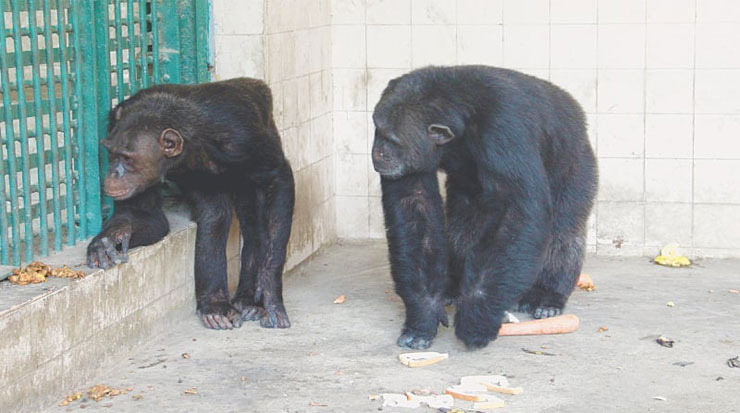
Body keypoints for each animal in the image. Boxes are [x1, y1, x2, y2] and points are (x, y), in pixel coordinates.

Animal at [86, 77, 294, 330]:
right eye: (111, 153)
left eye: (127, 158)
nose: (114, 172)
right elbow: (142, 214)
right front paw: (111, 237)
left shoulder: (244, 137)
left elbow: (278, 178)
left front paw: (270, 294)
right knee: (215, 215)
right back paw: (216, 307)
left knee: (258, 228)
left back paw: (249, 303)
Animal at [372, 66, 600, 350]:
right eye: (377, 129)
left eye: (391, 139)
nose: (378, 151)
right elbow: (414, 206)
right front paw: (424, 313)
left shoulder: (505, 129)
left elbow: (515, 212)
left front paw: (476, 318)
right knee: (463, 228)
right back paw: (452, 288)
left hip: (577, 162)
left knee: (564, 229)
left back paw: (547, 297)